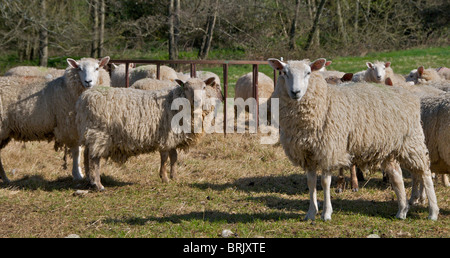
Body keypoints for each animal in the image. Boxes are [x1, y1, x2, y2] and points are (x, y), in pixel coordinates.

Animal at [76, 76, 223, 189]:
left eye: (204, 87)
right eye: (186, 88)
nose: (197, 101)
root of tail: (85, 97)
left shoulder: (173, 137)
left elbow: (174, 157)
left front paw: (174, 176)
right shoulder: (165, 136)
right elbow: (165, 158)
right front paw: (164, 177)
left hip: (91, 133)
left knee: (86, 154)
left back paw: (89, 179)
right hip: (99, 134)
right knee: (94, 159)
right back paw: (98, 184)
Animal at [268, 57, 440, 221]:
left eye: (308, 73)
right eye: (284, 73)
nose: (295, 92)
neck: (325, 101)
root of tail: (406, 93)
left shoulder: (329, 149)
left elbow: (325, 182)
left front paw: (326, 213)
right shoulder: (308, 153)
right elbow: (311, 183)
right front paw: (311, 213)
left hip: (412, 142)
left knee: (425, 172)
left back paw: (433, 212)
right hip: (389, 147)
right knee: (397, 176)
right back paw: (402, 211)